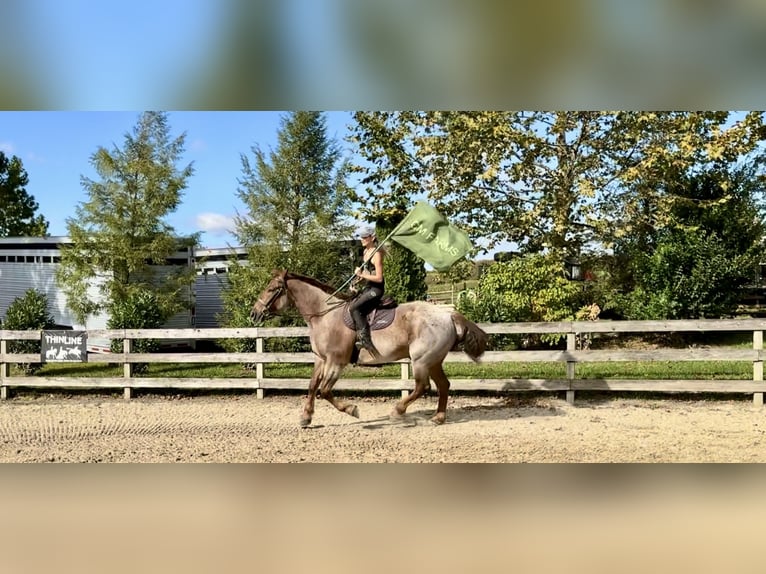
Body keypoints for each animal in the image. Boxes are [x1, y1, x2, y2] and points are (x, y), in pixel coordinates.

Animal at [250, 270, 488, 427]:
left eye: (271, 289)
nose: (254, 313)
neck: (324, 315)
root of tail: (448, 314)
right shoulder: (321, 359)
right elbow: (312, 386)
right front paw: (306, 417)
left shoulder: (336, 361)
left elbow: (325, 390)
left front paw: (351, 410)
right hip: (434, 360)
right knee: (443, 385)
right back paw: (438, 417)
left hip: (421, 360)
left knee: (423, 386)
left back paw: (398, 410)